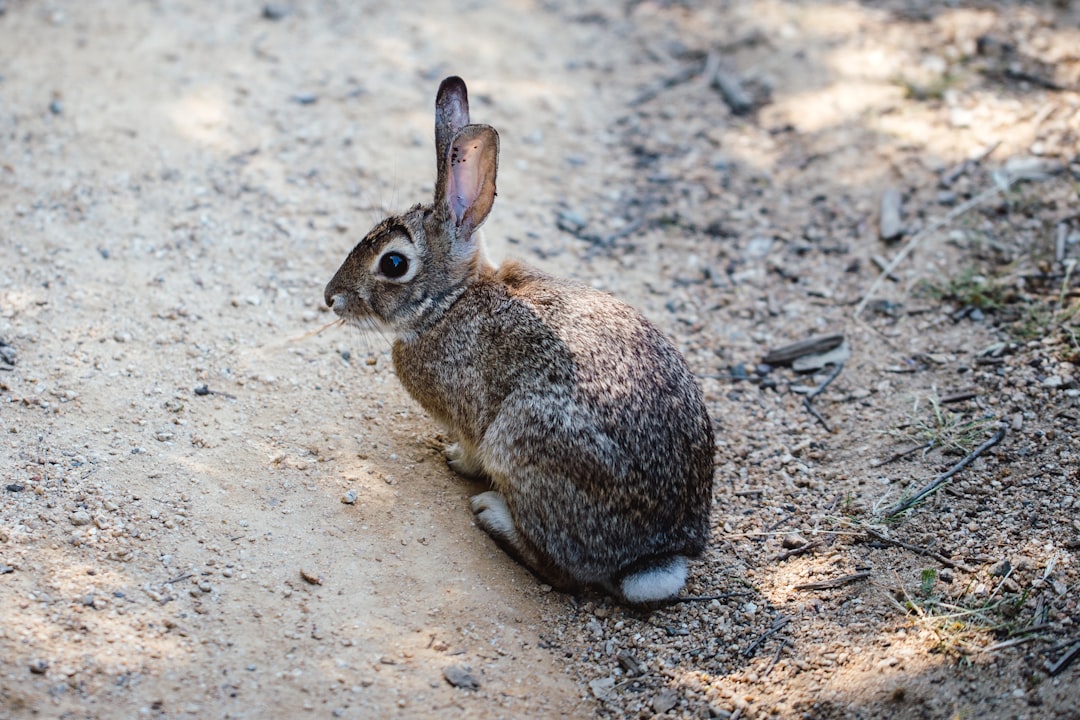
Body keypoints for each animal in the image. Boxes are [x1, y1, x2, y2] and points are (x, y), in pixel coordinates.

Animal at [328, 76, 717, 604]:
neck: (452, 301)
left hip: (522, 442)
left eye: (392, 263)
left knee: (564, 571)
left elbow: (470, 448)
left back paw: (492, 513)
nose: (330, 298)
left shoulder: (472, 416)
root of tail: (657, 555)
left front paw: (456, 460)